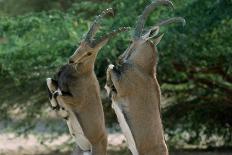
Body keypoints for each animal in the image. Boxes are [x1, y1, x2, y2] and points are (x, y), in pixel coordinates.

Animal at [46, 8, 130, 155]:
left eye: (90, 52)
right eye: (80, 43)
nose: (71, 60)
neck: (80, 73)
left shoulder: (76, 99)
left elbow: (58, 94)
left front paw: (62, 110)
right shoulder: (56, 83)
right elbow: (49, 82)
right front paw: (60, 110)